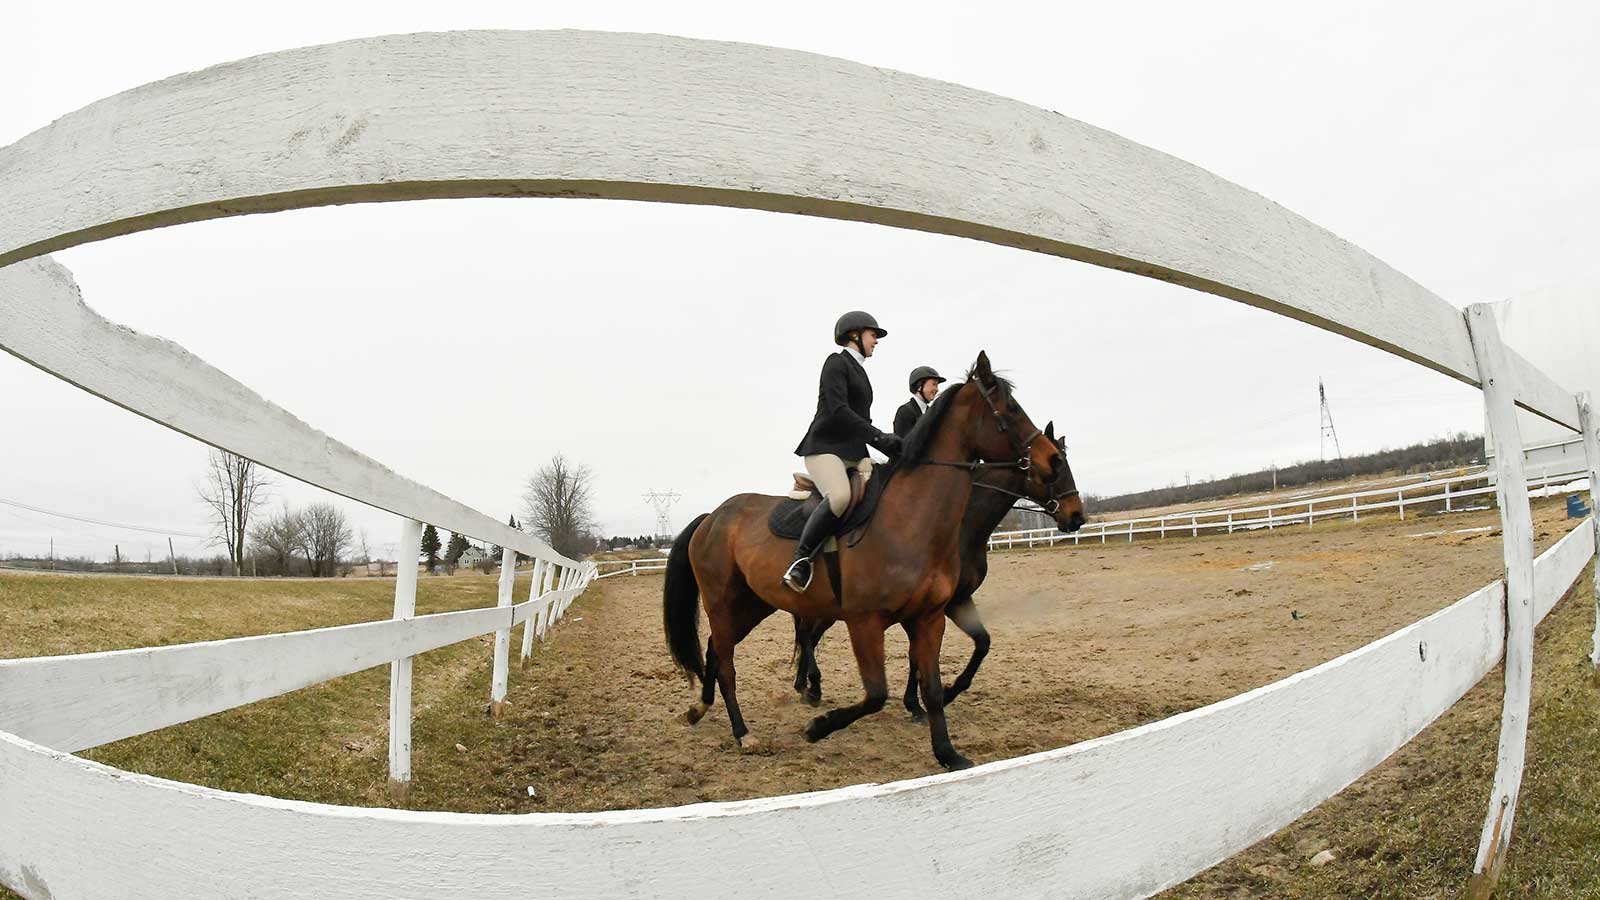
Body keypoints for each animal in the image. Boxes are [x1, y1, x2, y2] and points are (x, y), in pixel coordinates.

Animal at [787, 422, 1075, 711]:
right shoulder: (931, 606)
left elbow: (978, 643)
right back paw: (810, 686)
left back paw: (804, 685)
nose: (1077, 517)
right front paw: (917, 702)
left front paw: (934, 697)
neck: (962, 525)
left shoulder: (952, 601)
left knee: (808, 634)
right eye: (1058, 468)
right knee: (807, 632)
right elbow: (918, 654)